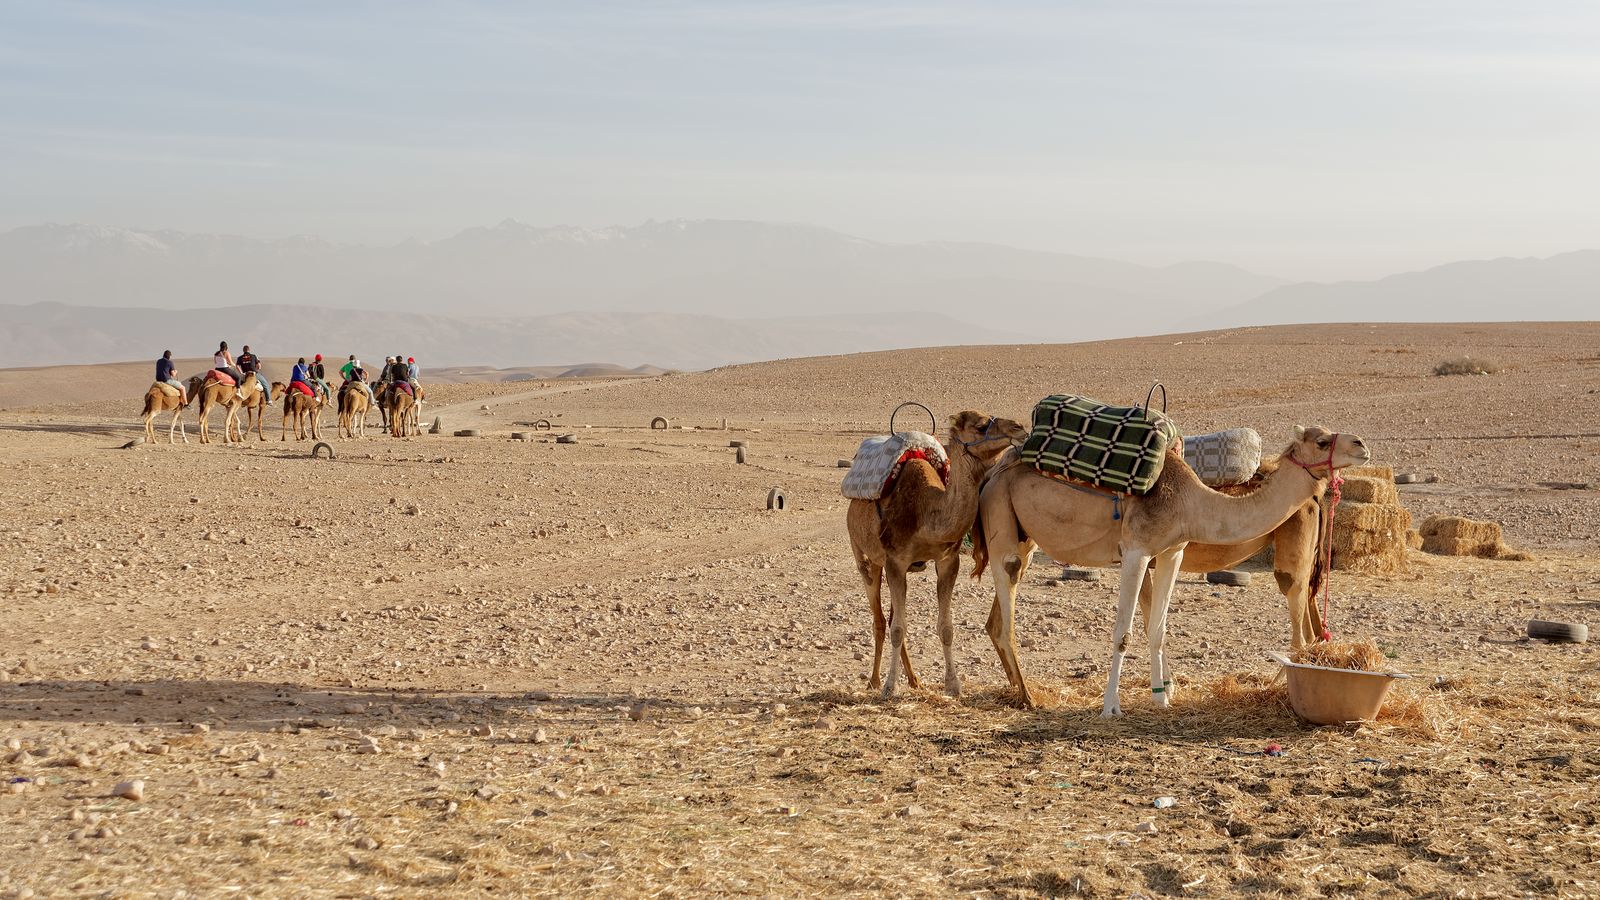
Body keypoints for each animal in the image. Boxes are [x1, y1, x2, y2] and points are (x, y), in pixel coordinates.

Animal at [845, 411, 1029, 699]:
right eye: (981, 426)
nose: (1019, 428)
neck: (926, 513)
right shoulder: (895, 562)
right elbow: (898, 629)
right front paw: (889, 687)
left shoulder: (947, 561)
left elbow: (945, 628)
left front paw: (953, 685)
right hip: (865, 558)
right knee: (879, 619)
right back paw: (874, 681)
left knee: (890, 616)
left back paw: (914, 680)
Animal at [973, 425, 1368, 715]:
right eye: (1321, 441)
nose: (1361, 445)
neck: (1192, 501)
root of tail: (993, 472)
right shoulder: (1135, 551)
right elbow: (1124, 633)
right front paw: (1111, 707)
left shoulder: (1171, 552)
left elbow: (1158, 629)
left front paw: (1162, 697)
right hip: (1000, 517)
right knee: (1005, 612)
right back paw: (1028, 697)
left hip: (1024, 538)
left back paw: (1018, 692)